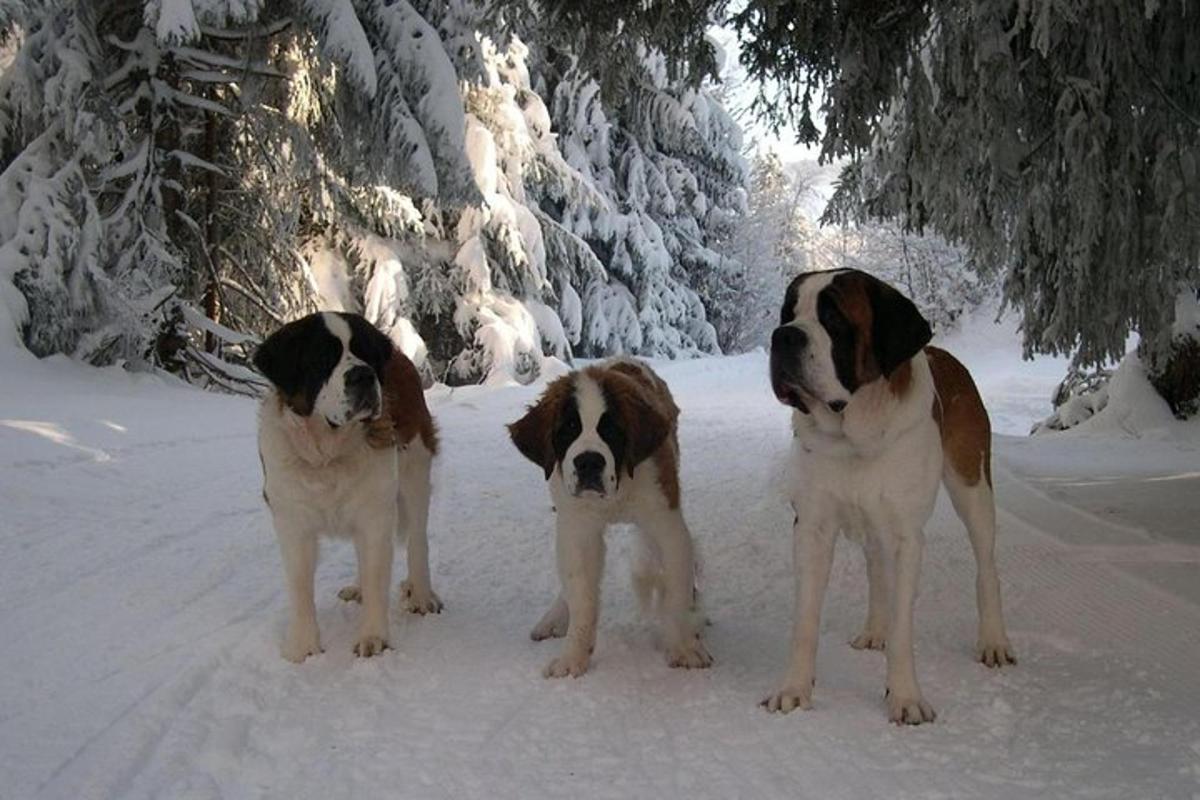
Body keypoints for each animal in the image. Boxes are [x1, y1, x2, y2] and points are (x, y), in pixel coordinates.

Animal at [253, 311, 441, 662]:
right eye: (322, 358)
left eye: (365, 351)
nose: (364, 375)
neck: (328, 455)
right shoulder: (292, 520)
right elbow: (299, 582)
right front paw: (303, 648)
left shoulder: (376, 513)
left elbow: (377, 573)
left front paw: (374, 639)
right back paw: (358, 588)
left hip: (415, 471)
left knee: (417, 539)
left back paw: (422, 595)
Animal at [508, 359, 710, 681]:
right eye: (569, 429)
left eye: (611, 430)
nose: (589, 462)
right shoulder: (577, 529)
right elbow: (582, 597)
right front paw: (573, 657)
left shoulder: (666, 522)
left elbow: (676, 589)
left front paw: (684, 648)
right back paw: (555, 616)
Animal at [763, 268, 1017, 724]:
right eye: (787, 313)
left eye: (833, 317)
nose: (783, 335)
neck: (853, 436)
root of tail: (944, 355)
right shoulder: (811, 527)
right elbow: (805, 620)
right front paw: (794, 689)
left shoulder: (906, 536)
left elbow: (904, 627)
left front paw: (905, 698)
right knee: (875, 567)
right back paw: (874, 630)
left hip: (972, 487)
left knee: (986, 564)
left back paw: (993, 640)